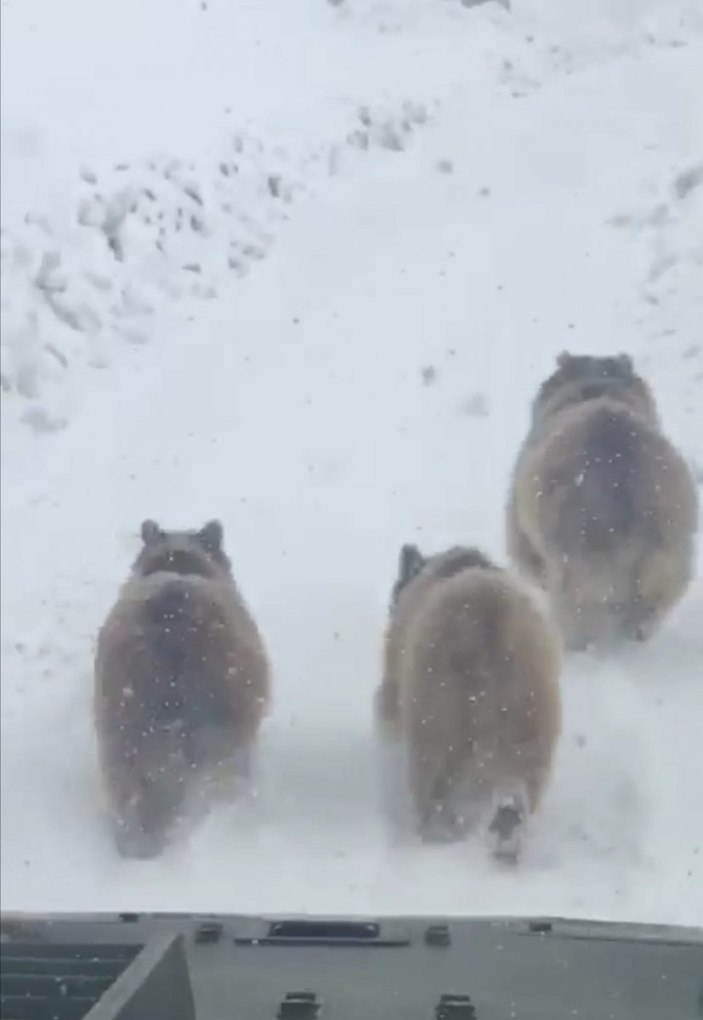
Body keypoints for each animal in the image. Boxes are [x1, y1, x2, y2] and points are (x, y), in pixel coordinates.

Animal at [375, 542, 563, 860]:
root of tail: (486, 623)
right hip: (529, 724)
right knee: (515, 796)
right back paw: (507, 844)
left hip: (434, 730)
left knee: (434, 798)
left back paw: (435, 837)